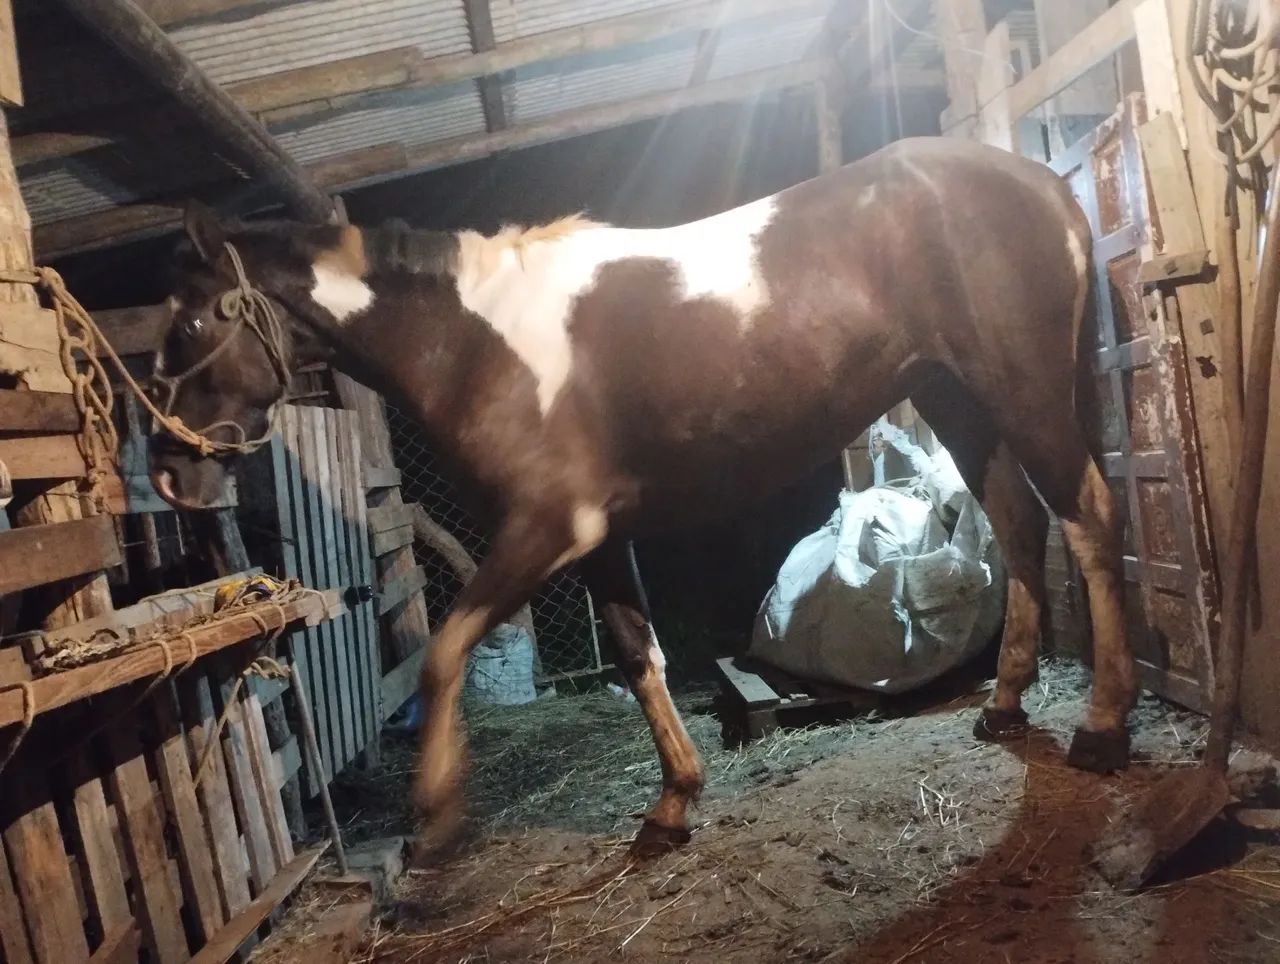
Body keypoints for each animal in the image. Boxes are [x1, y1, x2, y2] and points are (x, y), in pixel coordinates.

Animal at [149, 135, 1135, 855]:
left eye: (189, 324)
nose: (169, 474)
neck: (476, 343)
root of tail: (1040, 184)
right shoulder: (596, 535)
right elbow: (635, 655)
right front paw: (672, 805)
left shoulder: (545, 527)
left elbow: (444, 651)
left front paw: (433, 819)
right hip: (956, 398)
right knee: (1020, 522)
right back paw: (1004, 706)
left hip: (1023, 389)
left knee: (1088, 516)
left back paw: (1103, 726)